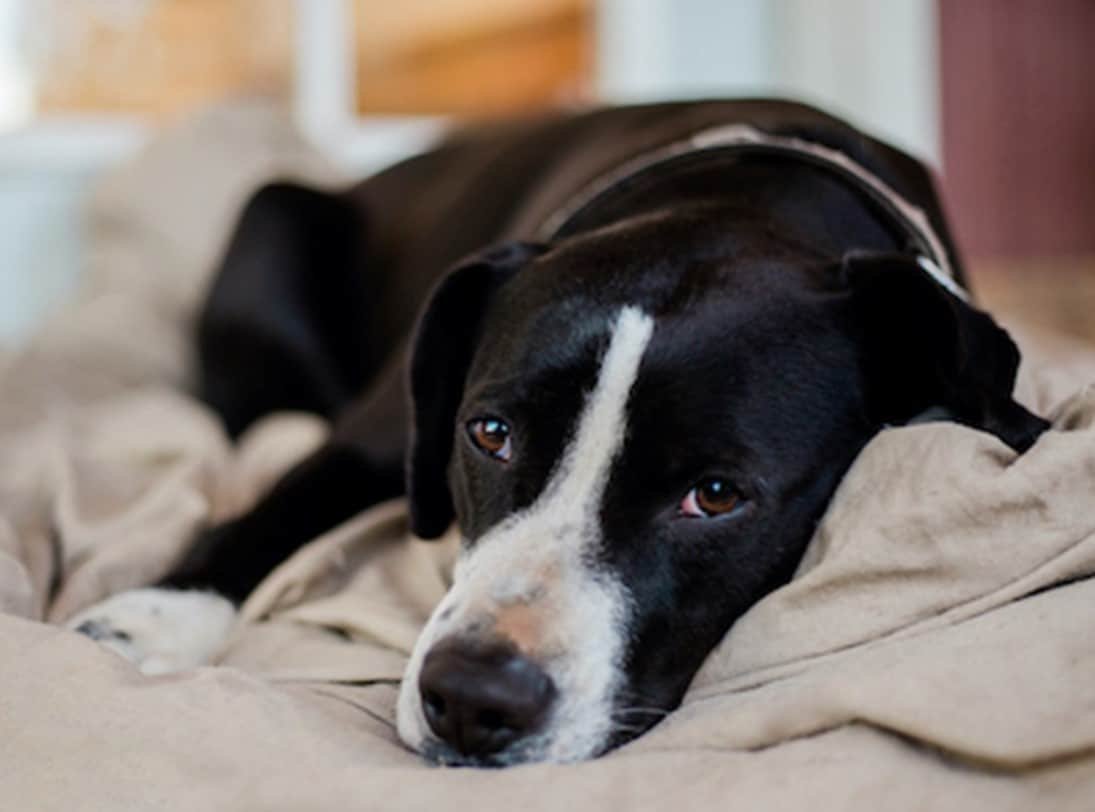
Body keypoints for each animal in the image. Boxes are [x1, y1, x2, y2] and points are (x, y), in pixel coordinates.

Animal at [66, 98, 1042, 766]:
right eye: (489, 434)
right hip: (271, 221)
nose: (470, 700)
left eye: (715, 495)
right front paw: (145, 620)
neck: (739, 201)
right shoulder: (382, 432)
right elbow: (270, 513)